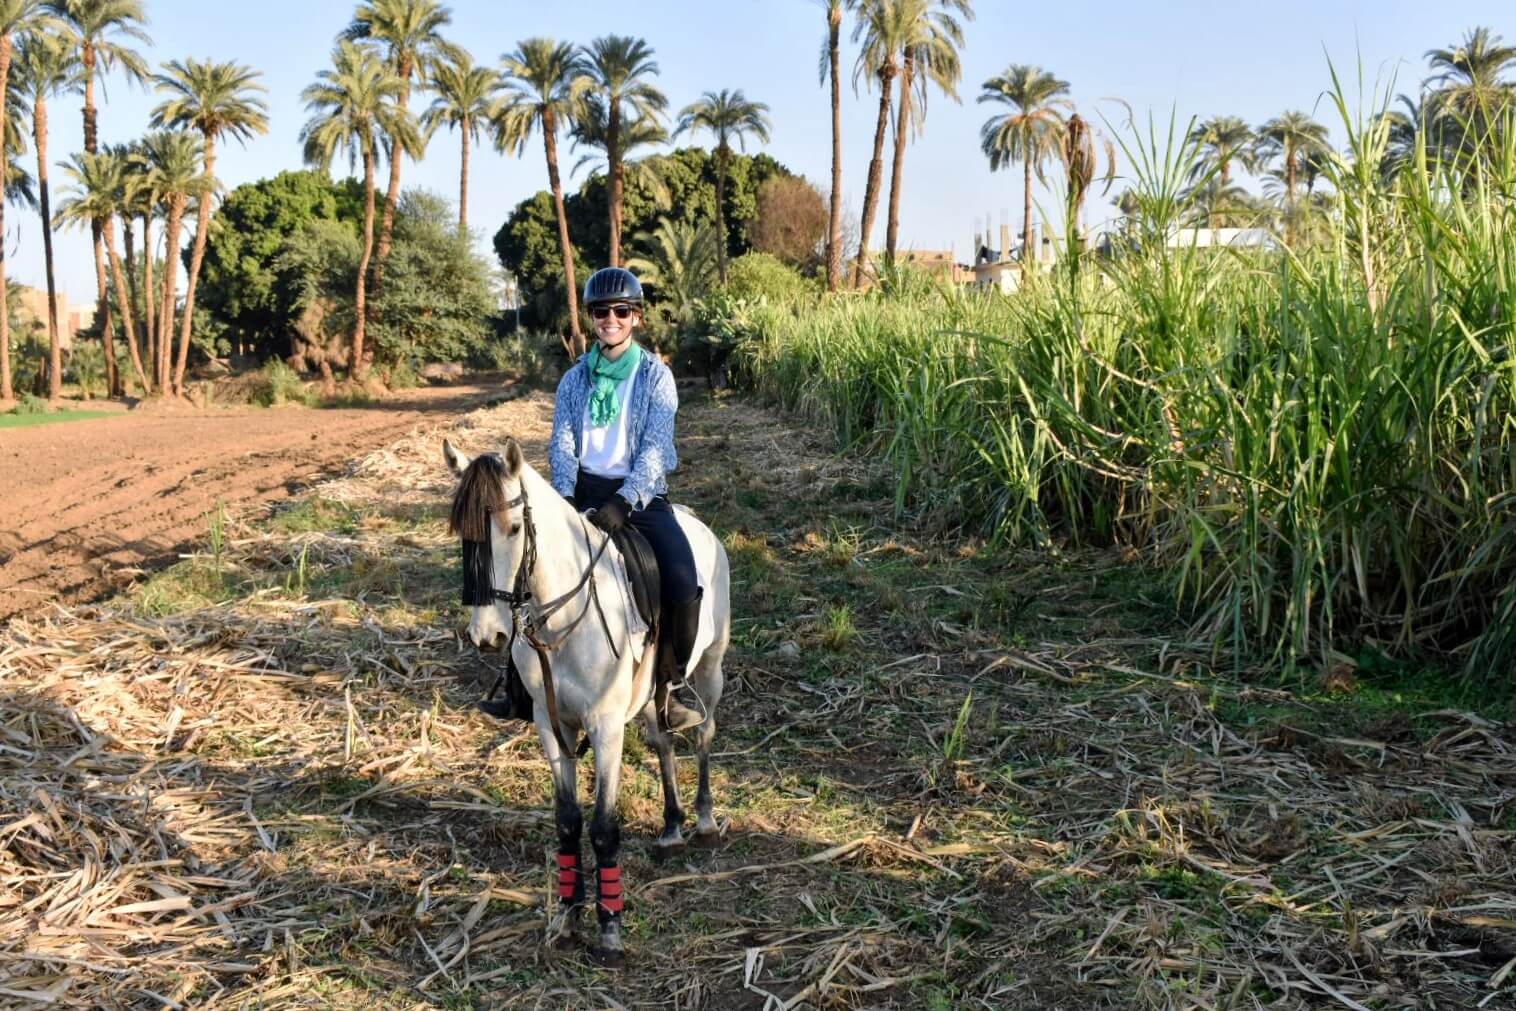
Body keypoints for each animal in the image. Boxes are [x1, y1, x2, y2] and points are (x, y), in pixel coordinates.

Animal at [442, 436, 730, 964]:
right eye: (463, 534)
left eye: (515, 529)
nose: (487, 636)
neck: (565, 618)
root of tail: (694, 521)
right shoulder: (551, 725)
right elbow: (568, 822)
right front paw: (567, 916)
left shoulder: (605, 727)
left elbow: (603, 827)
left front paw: (610, 927)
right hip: (651, 695)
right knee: (663, 741)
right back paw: (672, 827)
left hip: (710, 667)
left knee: (702, 733)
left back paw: (702, 819)